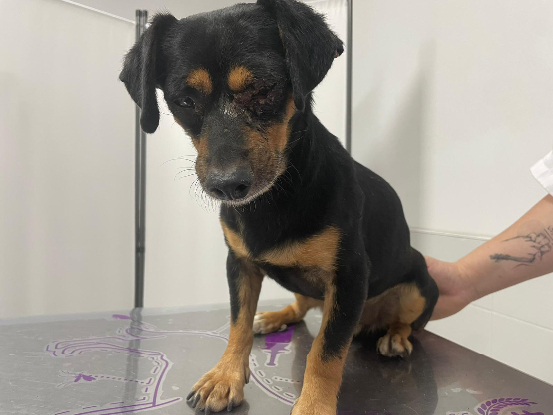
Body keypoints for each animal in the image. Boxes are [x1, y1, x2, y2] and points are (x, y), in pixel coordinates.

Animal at [119, 1, 438, 414]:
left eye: (265, 88)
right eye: (184, 102)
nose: (227, 185)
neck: (274, 199)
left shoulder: (350, 275)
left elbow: (326, 350)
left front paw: (314, 405)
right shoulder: (238, 264)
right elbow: (237, 324)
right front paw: (225, 377)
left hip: (420, 285)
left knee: (405, 322)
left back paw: (396, 337)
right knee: (300, 307)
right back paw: (274, 316)